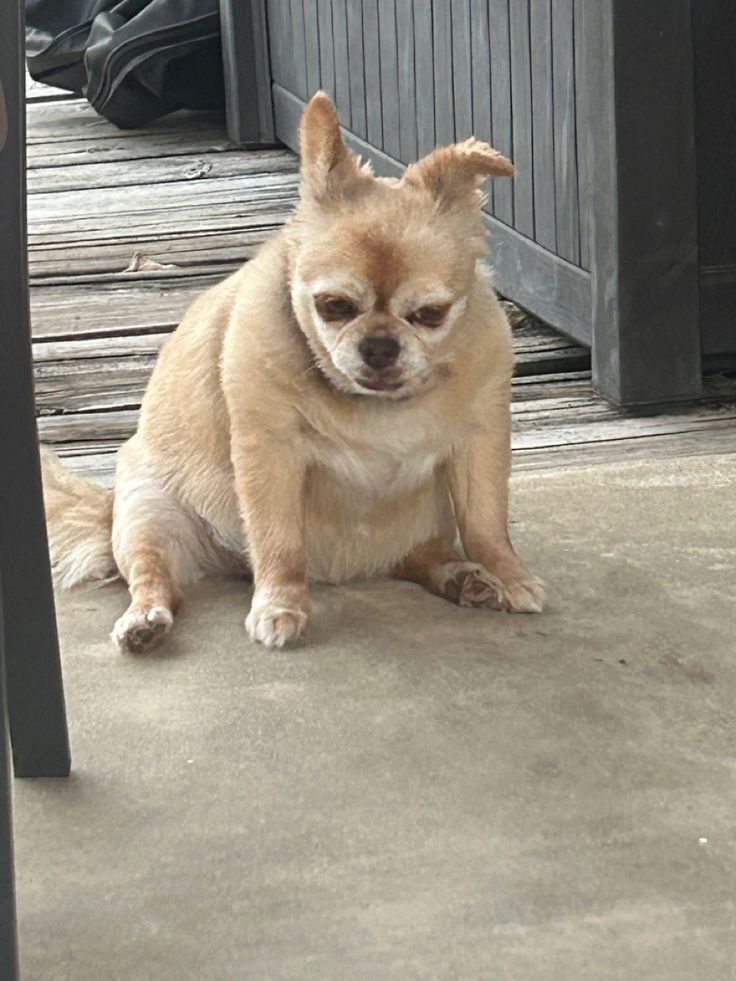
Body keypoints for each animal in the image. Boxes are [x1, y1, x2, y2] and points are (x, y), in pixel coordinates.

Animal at [43, 88, 544, 648]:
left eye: (430, 315)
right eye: (334, 306)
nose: (379, 346)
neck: (379, 405)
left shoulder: (480, 443)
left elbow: (486, 521)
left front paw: (508, 572)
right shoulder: (270, 454)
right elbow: (278, 540)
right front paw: (281, 604)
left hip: (427, 520)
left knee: (422, 554)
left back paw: (463, 577)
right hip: (147, 511)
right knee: (156, 576)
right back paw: (146, 622)